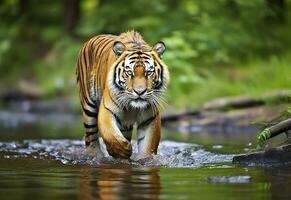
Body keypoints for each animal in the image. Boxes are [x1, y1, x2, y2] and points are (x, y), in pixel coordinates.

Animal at [76, 30, 170, 159]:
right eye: (129, 72)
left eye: (149, 72)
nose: (140, 92)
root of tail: (89, 40)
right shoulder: (107, 110)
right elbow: (111, 135)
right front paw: (122, 150)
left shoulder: (150, 119)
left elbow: (147, 147)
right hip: (88, 107)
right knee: (91, 137)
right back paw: (95, 154)